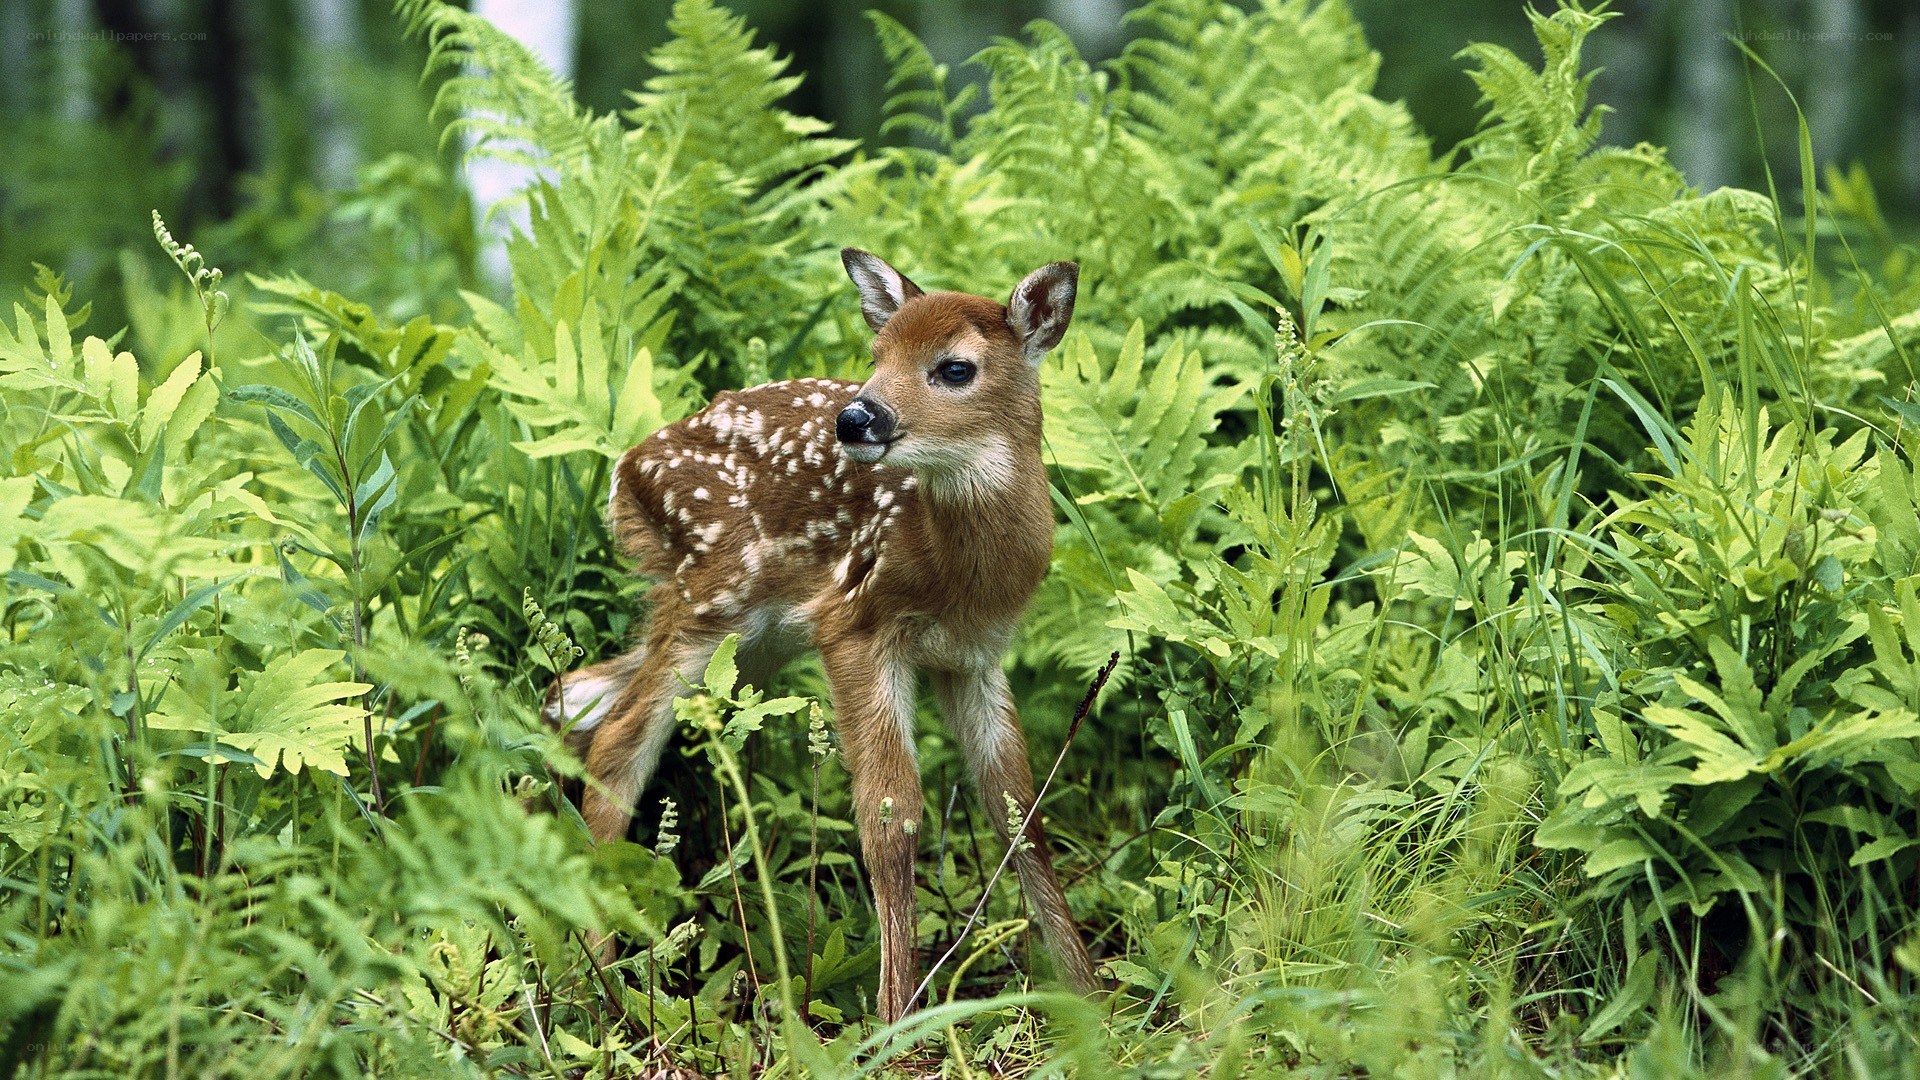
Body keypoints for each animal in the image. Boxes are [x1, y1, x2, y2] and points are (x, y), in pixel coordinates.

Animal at [543, 249, 1100, 1022]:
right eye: (876, 354)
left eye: (955, 368)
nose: (858, 417)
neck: (954, 572)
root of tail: (624, 470)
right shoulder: (857, 626)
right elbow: (891, 816)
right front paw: (896, 1017)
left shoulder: (975, 657)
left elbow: (1019, 809)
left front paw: (1092, 995)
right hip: (712, 593)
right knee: (620, 739)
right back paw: (600, 979)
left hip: (752, 638)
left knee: (575, 693)